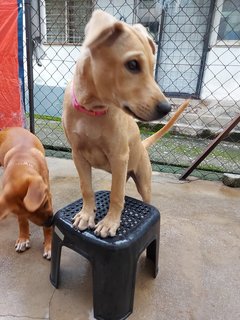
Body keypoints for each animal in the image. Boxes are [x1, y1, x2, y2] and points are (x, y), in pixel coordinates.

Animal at [0, 126, 53, 258]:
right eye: (27, 215)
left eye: (45, 203)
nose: (51, 222)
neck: (21, 161)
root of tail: (11, 128)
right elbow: (22, 221)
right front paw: (23, 238)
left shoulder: (48, 194)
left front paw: (49, 245)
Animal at [63, 10, 189, 238]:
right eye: (132, 65)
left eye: (152, 66)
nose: (166, 108)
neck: (93, 109)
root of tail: (142, 145)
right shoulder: (78, 155)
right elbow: (86, 188)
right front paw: (86, 215)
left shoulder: (119, 156)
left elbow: (116, 194)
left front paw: (110, 223)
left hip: (142, 180)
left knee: (146, 200)